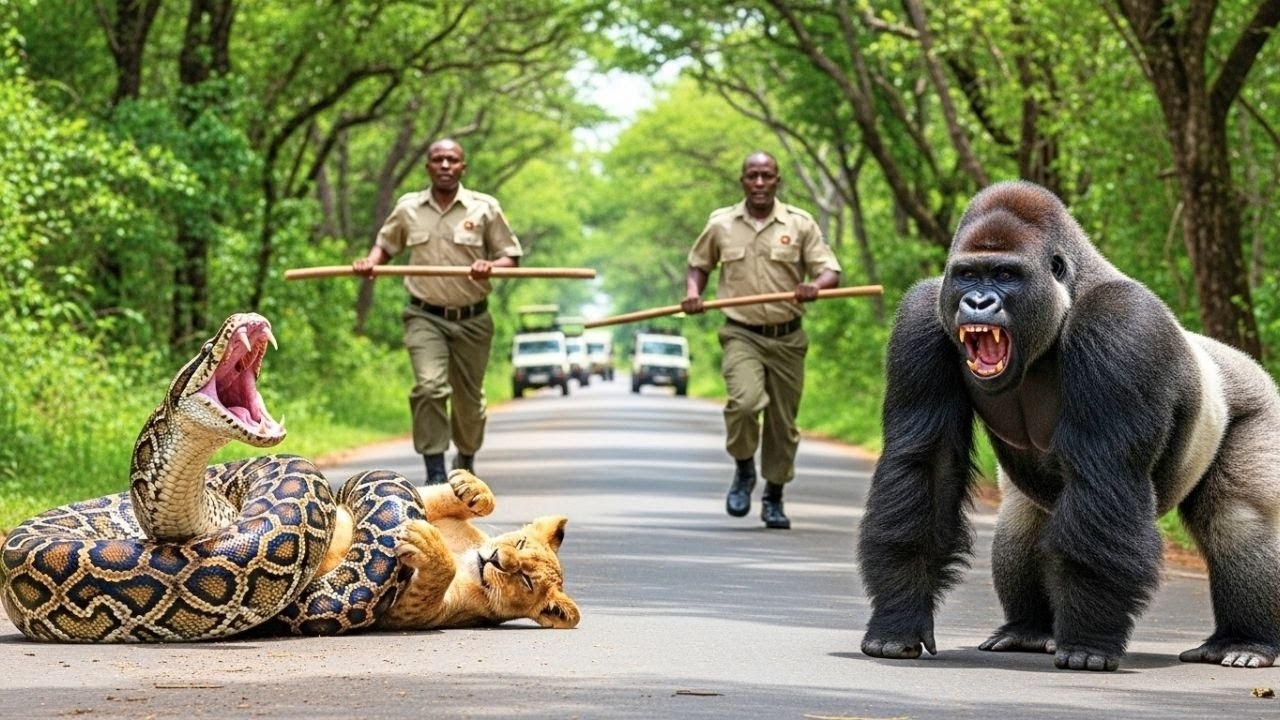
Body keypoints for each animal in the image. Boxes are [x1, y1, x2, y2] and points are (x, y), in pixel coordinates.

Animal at [376, 470, 581, 631]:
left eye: (526, 580)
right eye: (520, 543)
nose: (495, 558)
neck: (463, 555)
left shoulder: (405, 613)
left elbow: (441, 576)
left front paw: (425, 540)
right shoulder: (433, 508)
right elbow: (435, 496)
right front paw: (472, 488)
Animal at [857, 180, 1280, 671]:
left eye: (1005, 274)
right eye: (967, 274)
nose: (977, 301)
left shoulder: (1120, 324)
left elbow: (1105, 474)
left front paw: (1089, 641)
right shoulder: (922, 315)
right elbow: (928, 465)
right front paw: (898, 618)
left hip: (1259, 403)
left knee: (1237, 518)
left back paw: (1243, 641)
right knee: (1022, 520)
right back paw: (1029, 629)